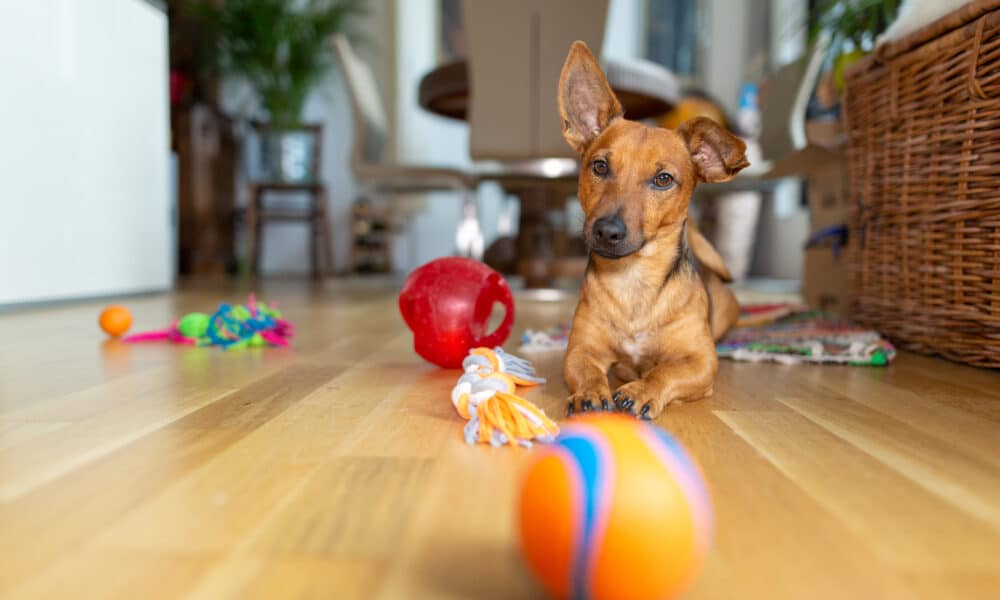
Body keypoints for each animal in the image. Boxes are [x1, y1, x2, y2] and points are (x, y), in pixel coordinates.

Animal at [560, 42, 748, 420]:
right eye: (599, 166)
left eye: (663, 179)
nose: (607, 231)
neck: (634, 281)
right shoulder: (580, 350)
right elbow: (587, 371)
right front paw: (590, 392)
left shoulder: (701, 362)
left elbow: (665, 371)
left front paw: (642, 390)